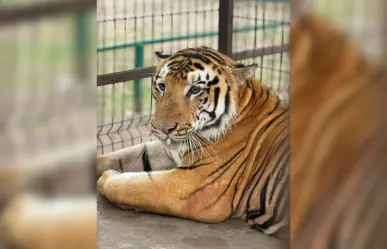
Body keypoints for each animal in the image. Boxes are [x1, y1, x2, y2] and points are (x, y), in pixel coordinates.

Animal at [97, 45, 292, 238]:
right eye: (162, 86)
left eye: (195, 90)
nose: (163, 128)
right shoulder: (170, 152)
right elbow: (122, 156)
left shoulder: (195, 185)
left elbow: (130, 186)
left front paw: (107, 177)